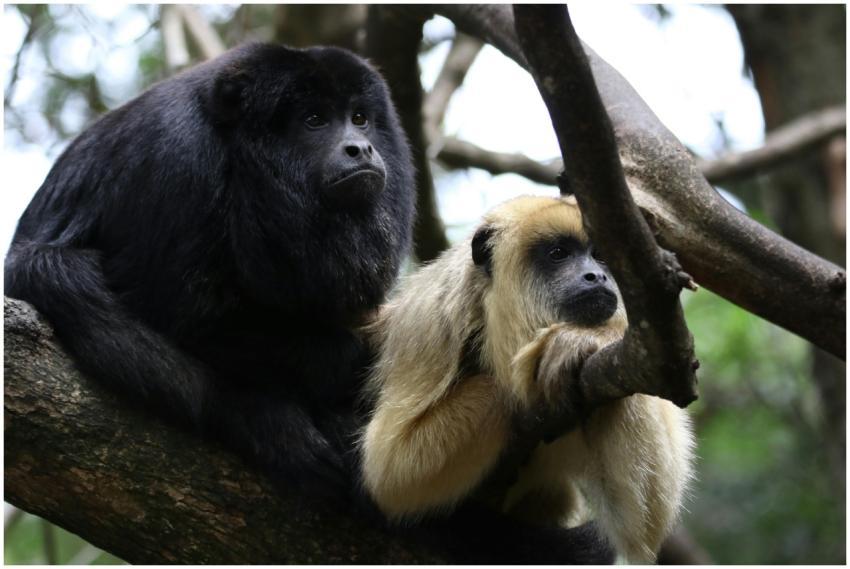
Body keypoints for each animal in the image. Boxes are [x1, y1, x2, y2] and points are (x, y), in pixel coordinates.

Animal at [360, 194, 694, 563]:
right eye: (559, 253)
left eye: (600, 256)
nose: (597, 276)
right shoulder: (428, 325)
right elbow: (393, 474)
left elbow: (645, 519)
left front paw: (587, 339)